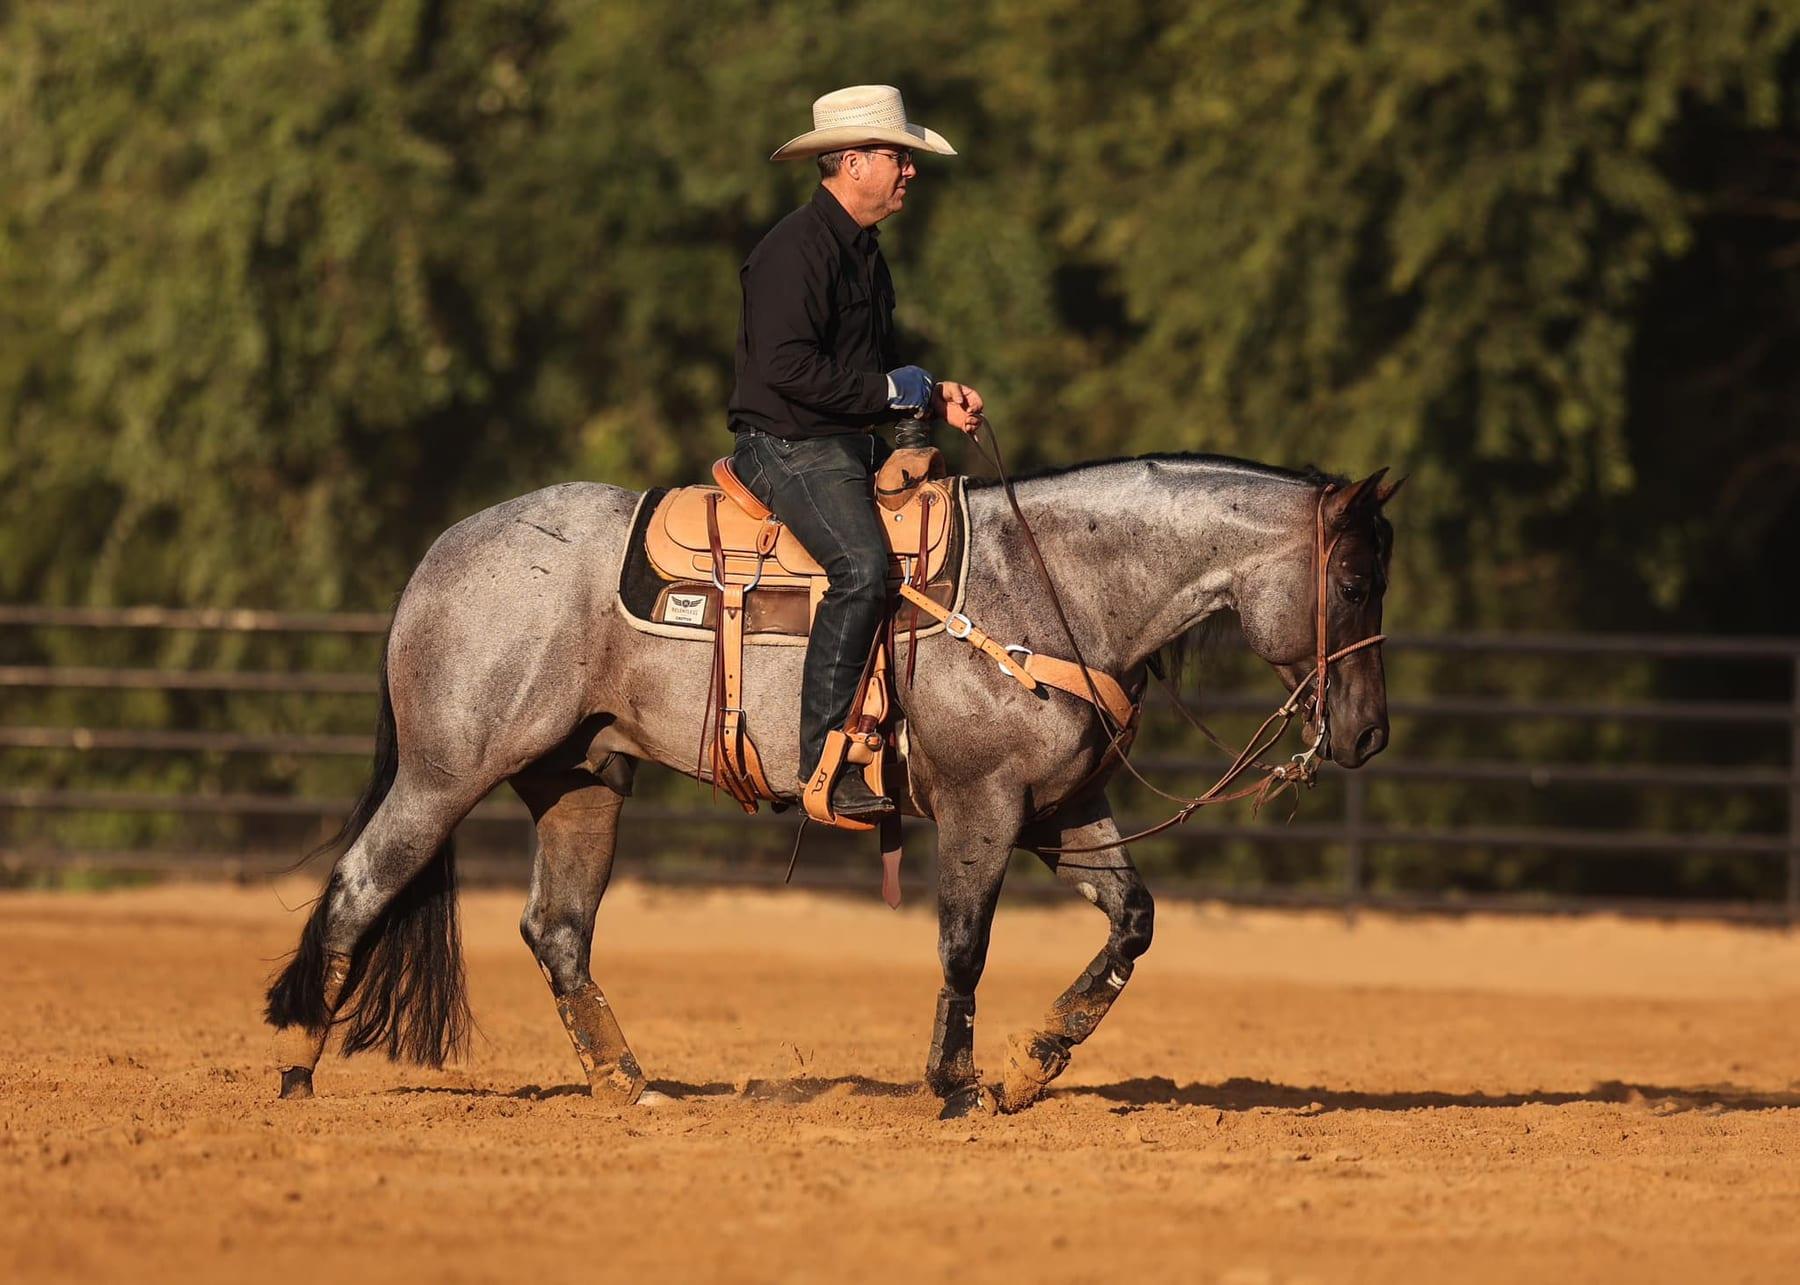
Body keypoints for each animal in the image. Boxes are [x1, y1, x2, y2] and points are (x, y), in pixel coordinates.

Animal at [265, 451, 1398, 1118]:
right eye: (1352, 581)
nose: (1369, 733)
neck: (1051, 590)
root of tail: (445, 552)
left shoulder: (1064, 810)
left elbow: (1133, 922)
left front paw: (1033, 1064)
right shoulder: (983, 807)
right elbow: (964, 942)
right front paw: (956, 1084)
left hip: (580, 780)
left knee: (557, 929)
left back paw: (631, 1086)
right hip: (443, 775)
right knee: (361, 889)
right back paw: (296, 1066)